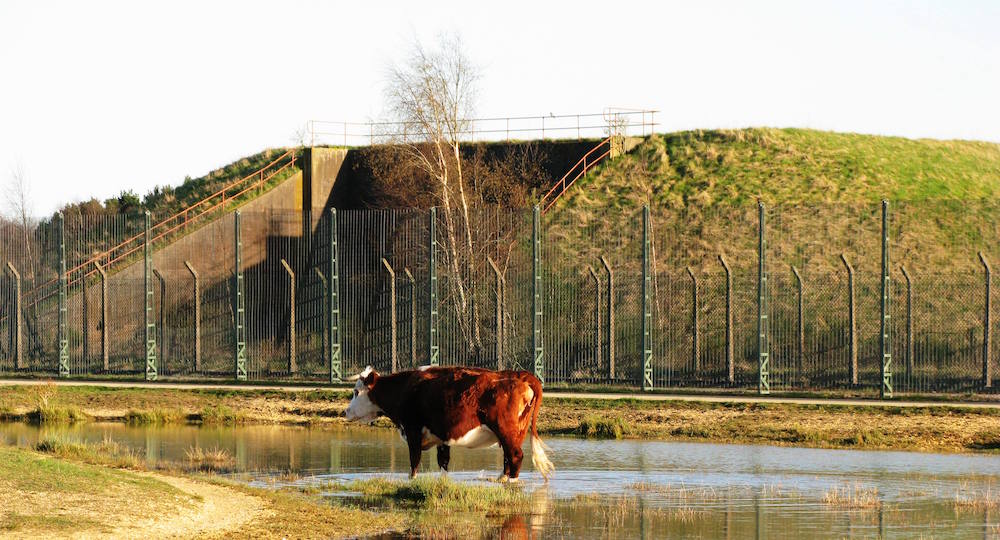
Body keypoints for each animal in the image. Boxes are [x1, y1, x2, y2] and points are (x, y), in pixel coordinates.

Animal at [346, 364, 556, 484]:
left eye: (356, 392)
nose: (345, 412)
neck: (406, 388)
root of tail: (522, 376)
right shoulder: (441, 438)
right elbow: (443, 462)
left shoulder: (412, 430)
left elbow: (414, 460)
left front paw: (411, 479)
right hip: (513, 433)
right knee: (508, 457)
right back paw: (501, 478)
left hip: (506, 430)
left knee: (515, 456)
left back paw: (511, 481)